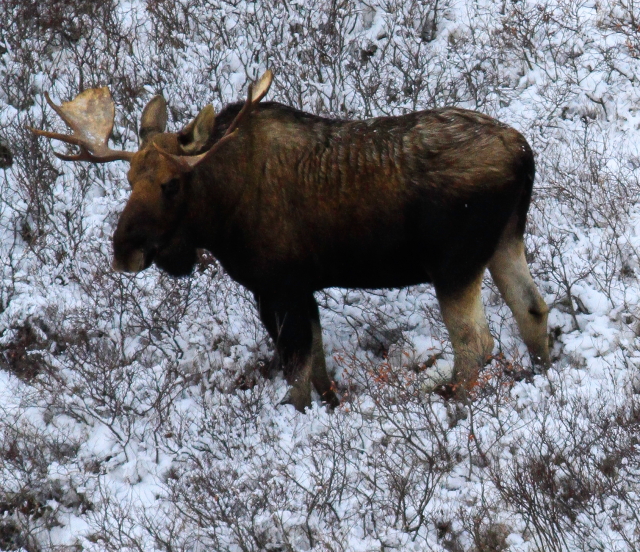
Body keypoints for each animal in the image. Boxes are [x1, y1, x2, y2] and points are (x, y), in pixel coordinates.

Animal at [31, 70, 550, 411]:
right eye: (129, 178)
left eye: (171, 184)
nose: (125, 250)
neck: (220, 211)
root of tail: (524, 154)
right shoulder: (302, 289)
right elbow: (318, 367)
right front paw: (334, 405)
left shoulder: (278, 287)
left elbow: (297, 378)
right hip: (505, 241)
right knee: (532, 309)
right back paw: (540, 374)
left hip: (454, 264)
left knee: (475, 343)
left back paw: (452, 403)